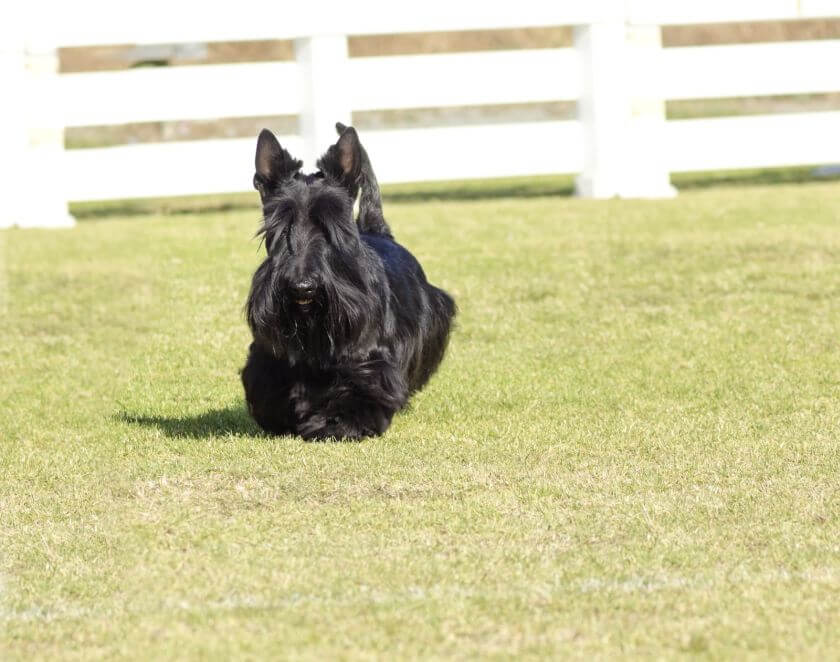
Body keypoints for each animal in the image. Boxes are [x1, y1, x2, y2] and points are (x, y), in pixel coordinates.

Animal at [240, 124, 456, 440]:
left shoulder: (368, 362)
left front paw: (336, 423)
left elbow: (358, 394)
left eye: (332, 222)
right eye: (279, 225)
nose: (302, 287)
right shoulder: (270, 360)